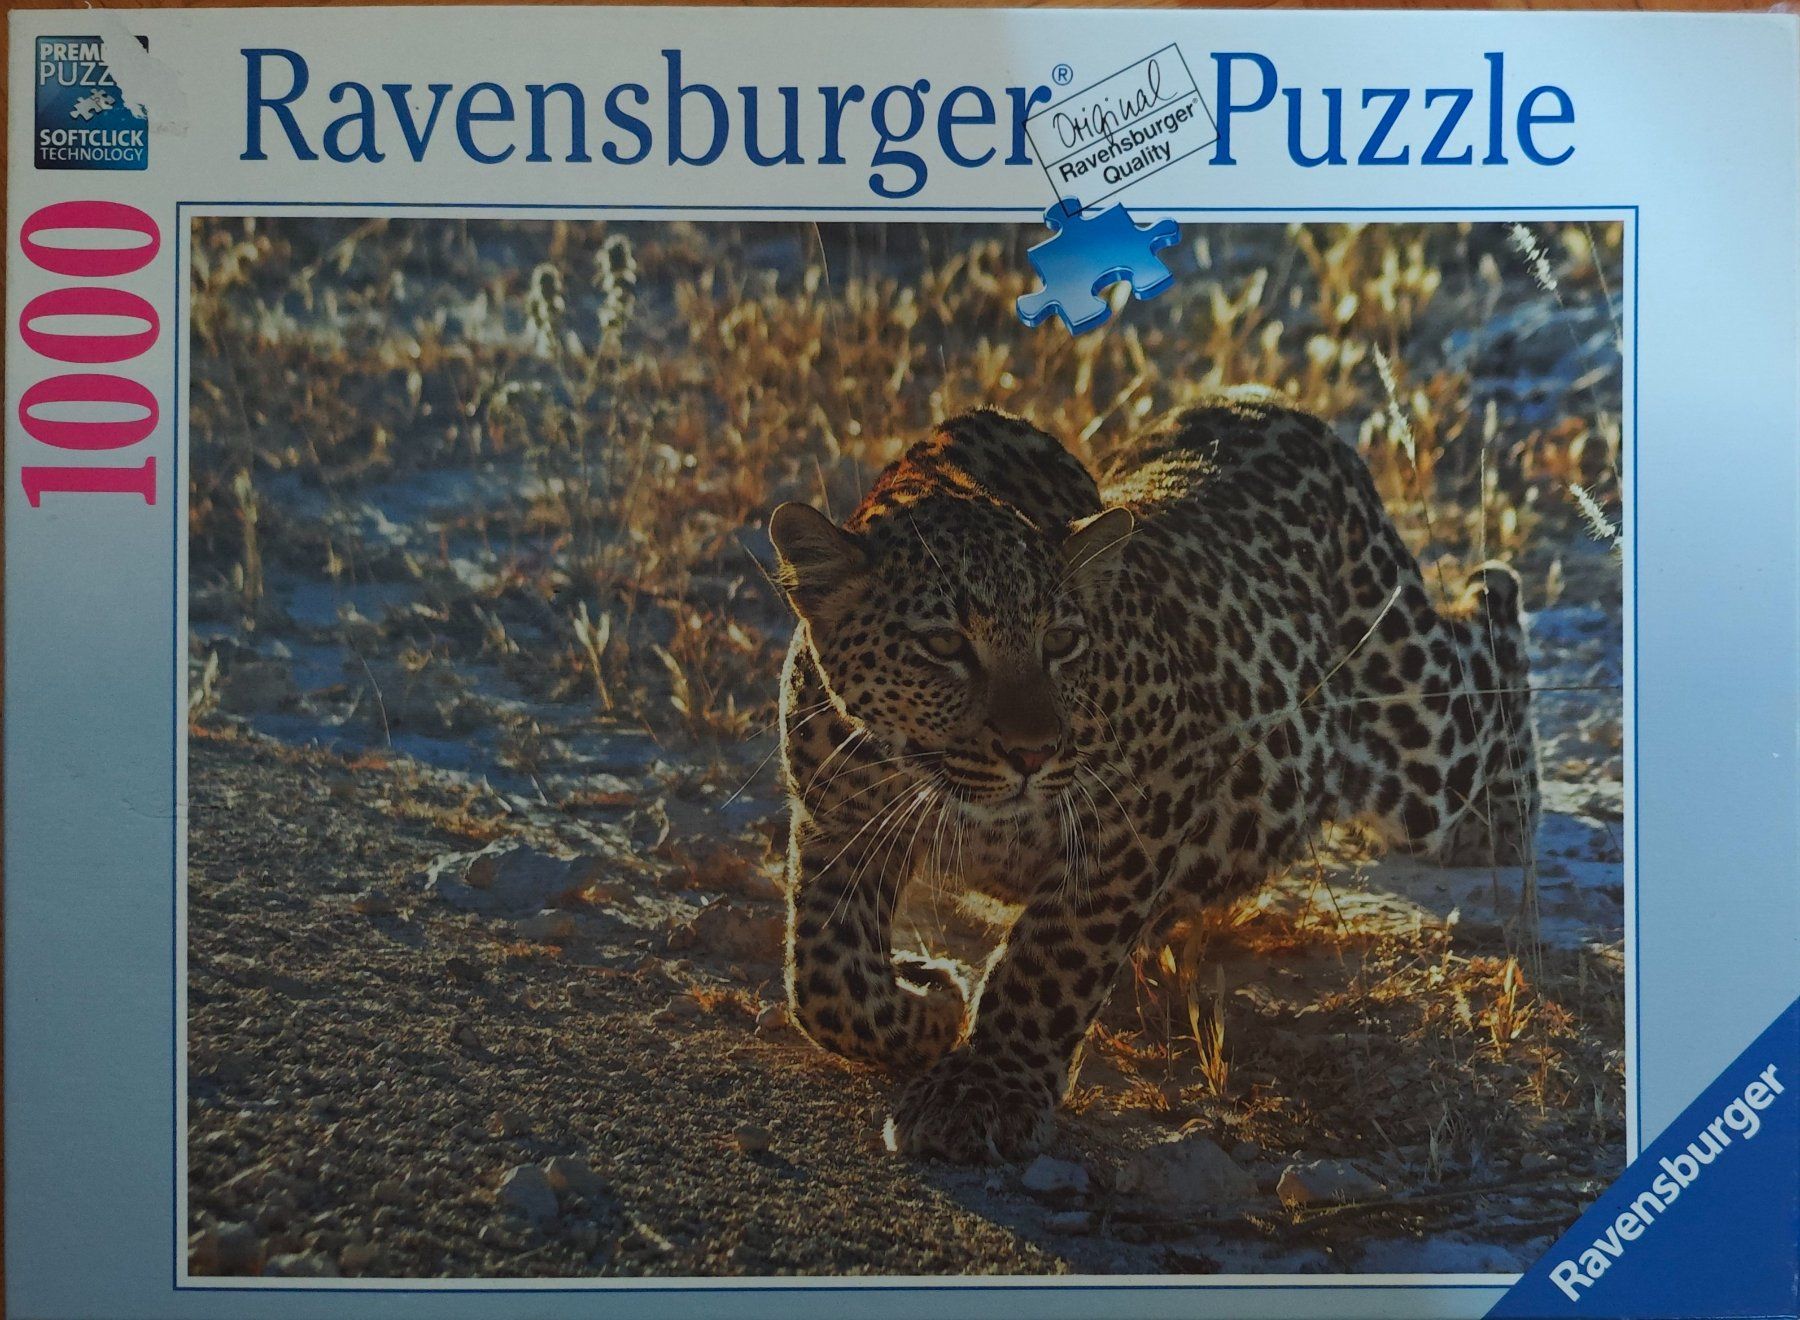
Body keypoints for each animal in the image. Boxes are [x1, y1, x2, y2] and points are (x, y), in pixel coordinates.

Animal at [767, 391, 1538, 1163]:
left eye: (1061, 641)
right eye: (942, 645)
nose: (1033, 753)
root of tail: (1265, 401)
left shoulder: (1135, 811)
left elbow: (1050, 960)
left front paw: (986, 1088)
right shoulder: (835, 819)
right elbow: (823, 976)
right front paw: (928, 1004)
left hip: (1418, 736)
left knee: (1483, 646)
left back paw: (1501, 804)